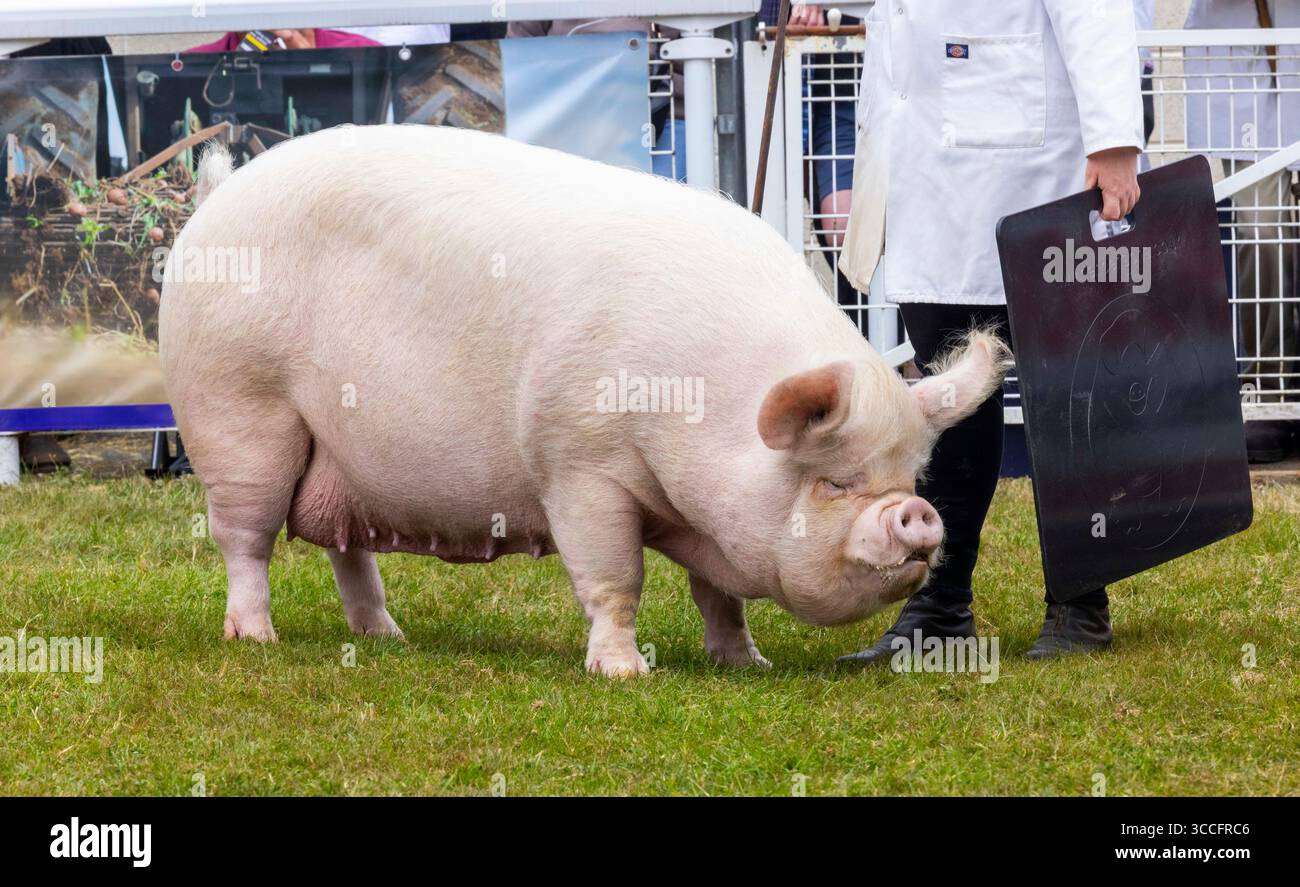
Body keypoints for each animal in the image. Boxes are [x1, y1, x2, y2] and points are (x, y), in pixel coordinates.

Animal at [159, 124, 1007, 676]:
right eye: (834, 479)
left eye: (910, 475)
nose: (917, 514)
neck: (697, 406)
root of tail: (218, 198)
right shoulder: (577, 464)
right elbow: (615, 577)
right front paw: (626, 673)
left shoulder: (707, 511)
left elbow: (719, 596)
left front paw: (749, 662)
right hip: (239, 410)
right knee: (245, 537)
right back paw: (256, 638)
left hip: (340, 448)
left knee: (346, 544)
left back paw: (387, 638)